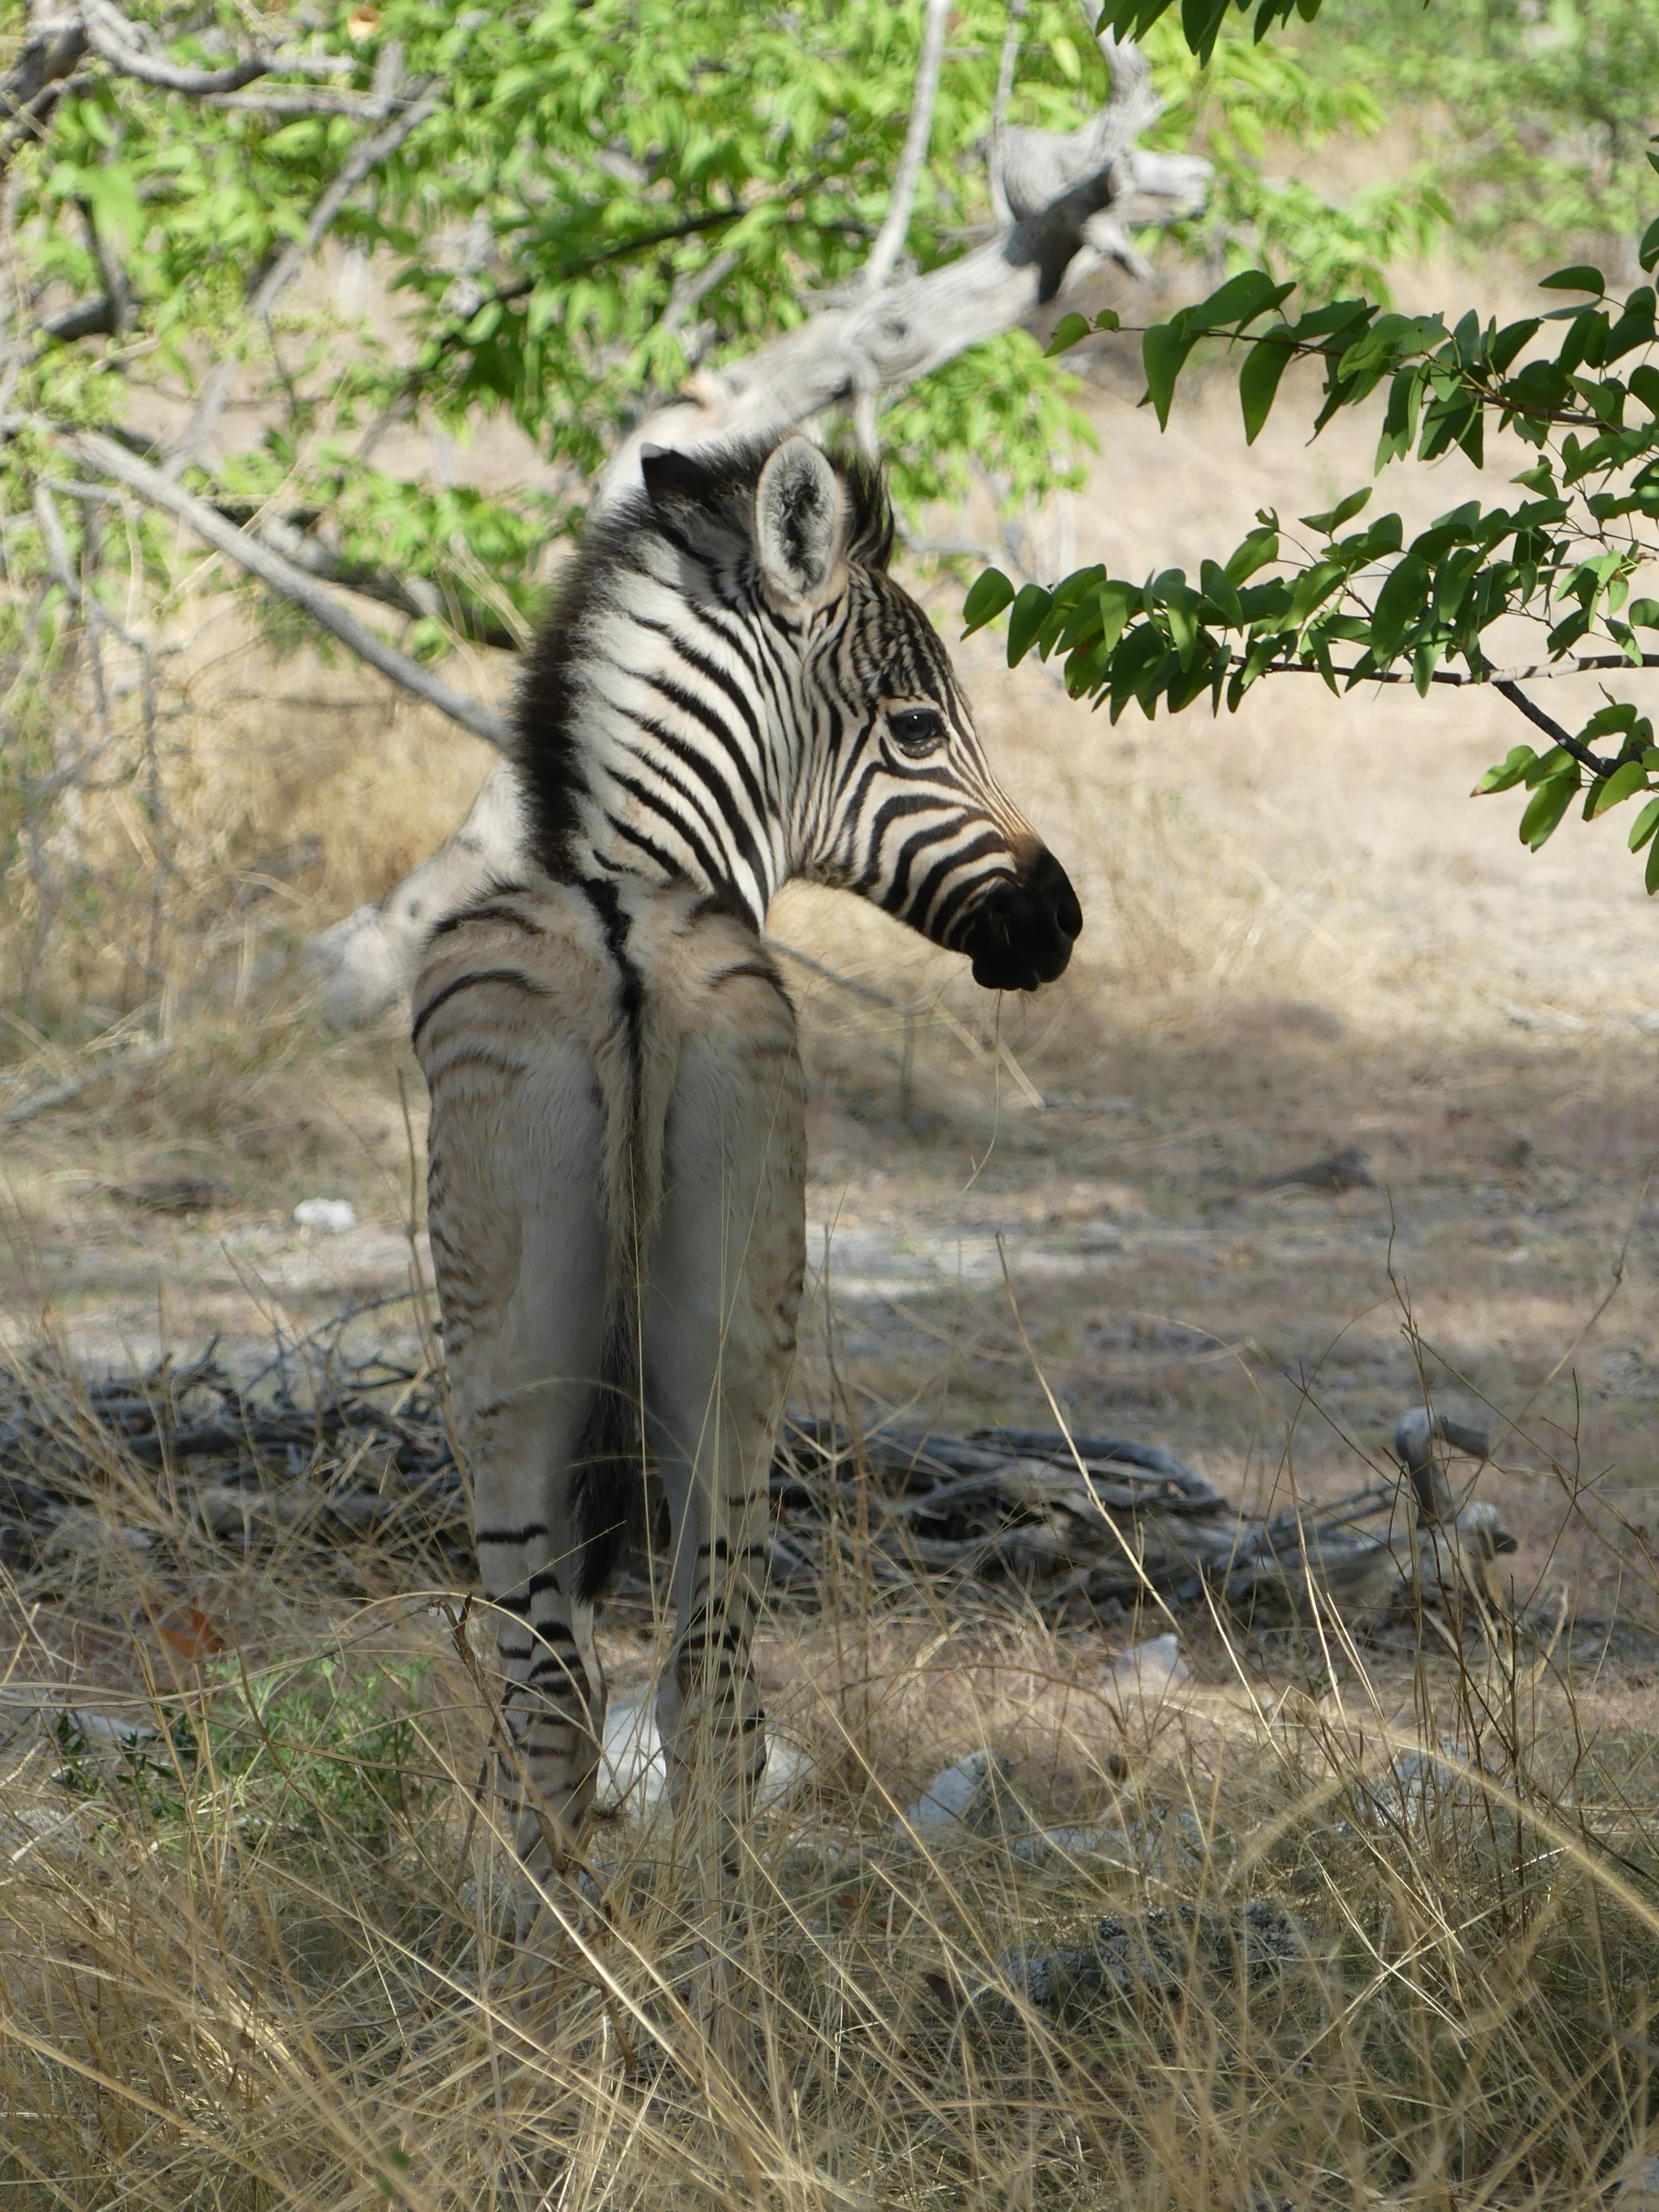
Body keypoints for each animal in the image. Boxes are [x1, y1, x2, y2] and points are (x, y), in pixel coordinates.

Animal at [412, 434, 1080, 1950]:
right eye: (918, 726)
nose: (1060, 919)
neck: (634, 870)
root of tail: (621, 945)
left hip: (546, 1362)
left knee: (582, 1698)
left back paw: (588, 1976)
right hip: (716, 1345)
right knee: (679, 1691)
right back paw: (697, 1971)